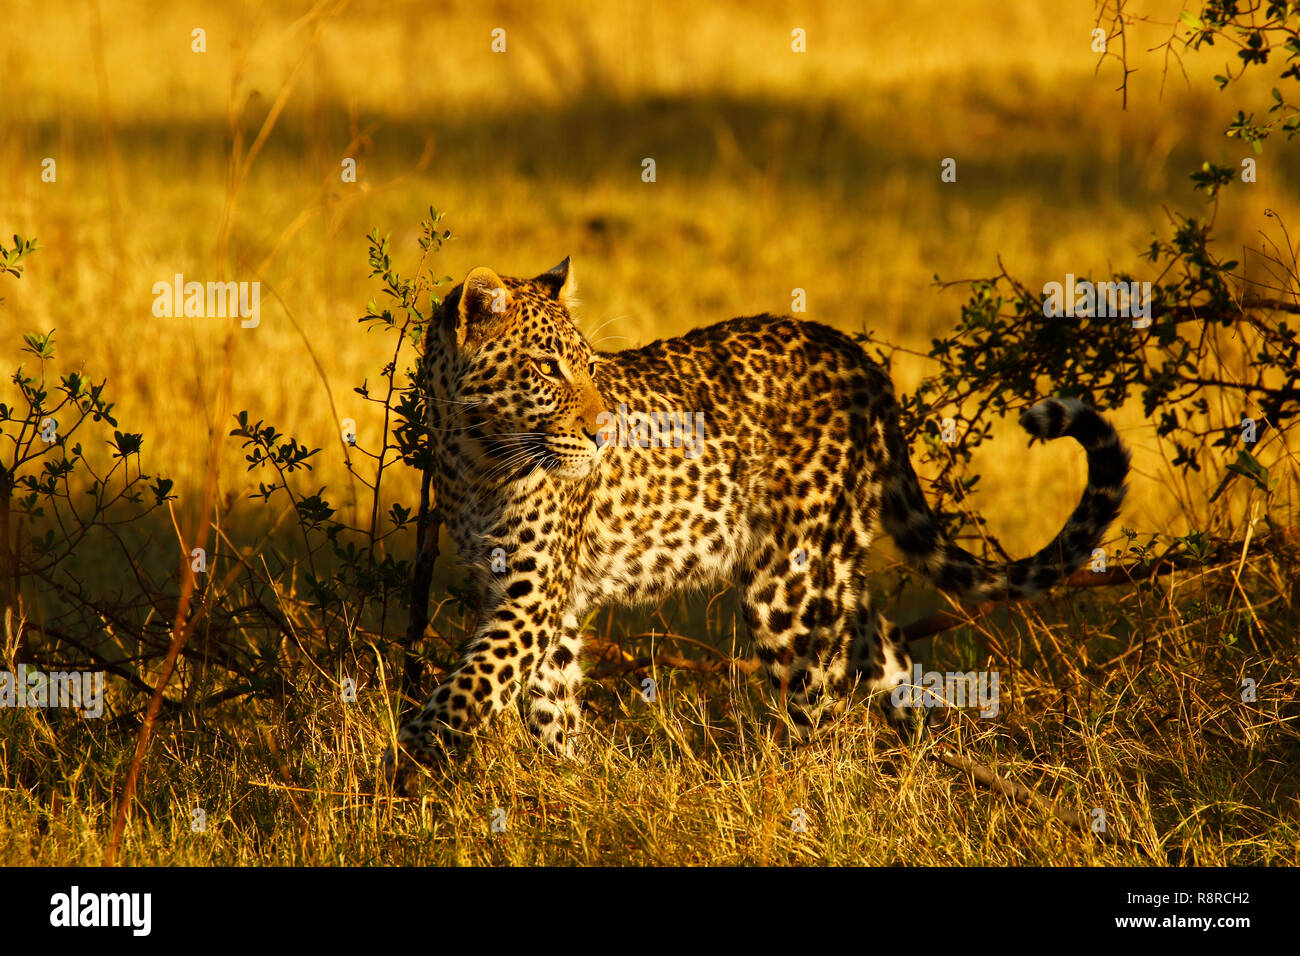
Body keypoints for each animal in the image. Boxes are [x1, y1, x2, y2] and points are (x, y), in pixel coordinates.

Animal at [391, 257, 1129, 778]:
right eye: (547, 369)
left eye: (593, 368)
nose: (603, 434)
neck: (473, 451)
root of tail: (860, 359)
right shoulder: (537, 599)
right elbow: (547, 699)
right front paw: (570, 782)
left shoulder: (533, 595)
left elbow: (473, 682)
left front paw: (410, 756)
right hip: (832, 569)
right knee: (885, 653)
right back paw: (920, 764)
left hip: (790, 585)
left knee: (822, 712)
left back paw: (810, 798)